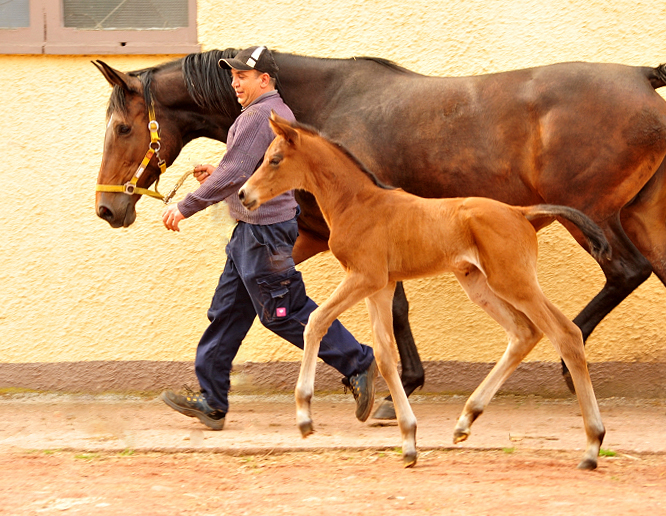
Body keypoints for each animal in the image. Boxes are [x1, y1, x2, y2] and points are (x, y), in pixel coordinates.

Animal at [93, 50, 664, 418]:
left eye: (123, 127)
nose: (107, 208)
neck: (322, 109)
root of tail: (644, 76)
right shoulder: (313, 232)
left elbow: (395, 307)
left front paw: (397, 387)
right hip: (640, 214)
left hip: (591, 212)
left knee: (626, 271)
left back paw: (568, 363)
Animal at [237, 115, 608, 470]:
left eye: (274, 159)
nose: (243, 194)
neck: (357, 203)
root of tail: (522, 212)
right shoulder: (381, 285)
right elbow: (385, 355)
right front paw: (409, 442)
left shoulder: (364, 277)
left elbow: (315, 321)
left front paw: (304, 416)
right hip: (479, 284)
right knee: (524, 333)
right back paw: (466, 421)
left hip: (515, 282)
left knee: (566, 334)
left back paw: (592, 446)